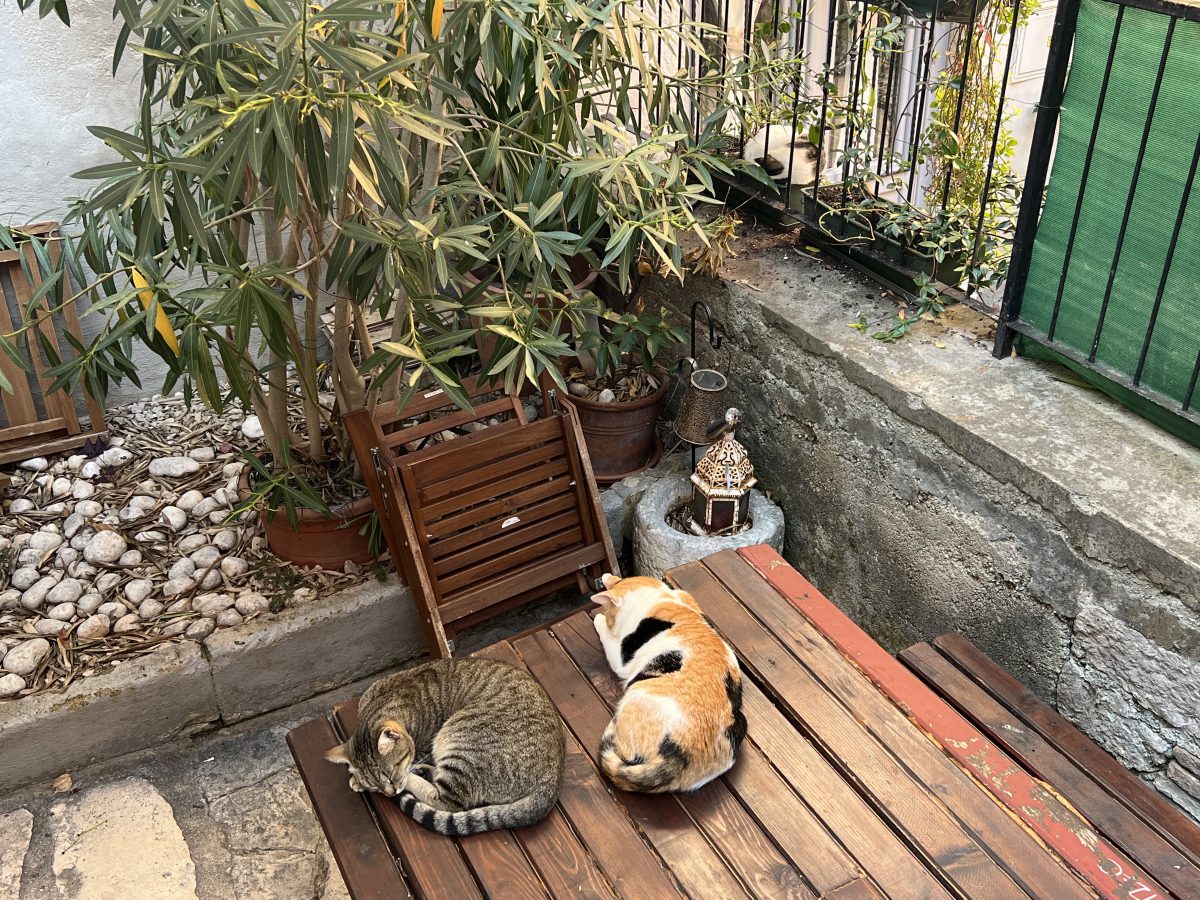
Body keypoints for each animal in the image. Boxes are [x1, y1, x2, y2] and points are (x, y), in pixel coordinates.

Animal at [325, 657, 564, 835]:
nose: (389, 792)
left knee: (445, 801)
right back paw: (426, 771)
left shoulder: (422, 750)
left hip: (460, 746)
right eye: (375, 787)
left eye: (391, 774)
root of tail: (552, 781)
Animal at [592, 573, 747, 793]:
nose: (609, 619)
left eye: (610, 617)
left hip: (635, 694)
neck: (658, 596)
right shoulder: (685, 595)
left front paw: (599, 619)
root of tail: (680, 756)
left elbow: (607, 638)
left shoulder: (621, 659)